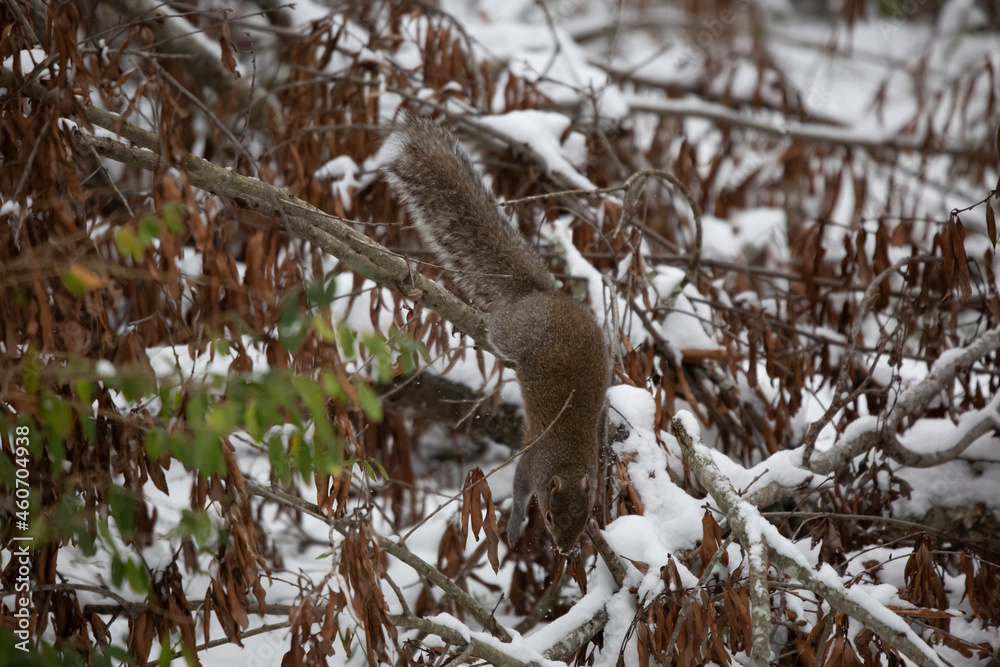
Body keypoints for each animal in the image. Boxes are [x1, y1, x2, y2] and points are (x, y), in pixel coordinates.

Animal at [380, 113, 610, 553]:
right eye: (549, 516)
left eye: (587, 514)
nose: (565, 549)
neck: (570, 461)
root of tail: (544, 295)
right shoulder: (532, 461)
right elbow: (520, 488)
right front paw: (518, 522)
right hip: (516, 333)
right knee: (498, 333)